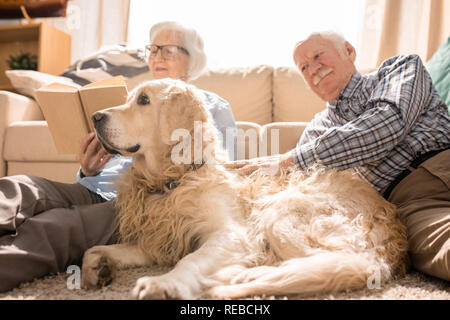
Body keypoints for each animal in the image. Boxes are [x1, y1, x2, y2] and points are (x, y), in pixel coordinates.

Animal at [80, 79, 408, 298]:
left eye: (144, 100)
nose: (96, 117)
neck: (173, 180)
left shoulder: (232, 234)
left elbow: (190, 260)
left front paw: (165, 283)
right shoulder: (159, 242)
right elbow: (91, 250)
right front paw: (98, 268)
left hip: (281, 210)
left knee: (337, 263)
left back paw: (243, 275)